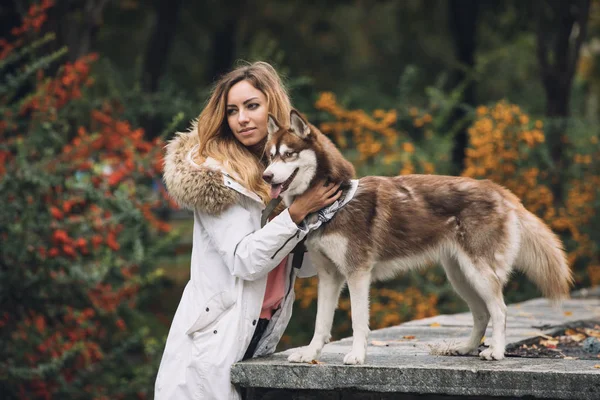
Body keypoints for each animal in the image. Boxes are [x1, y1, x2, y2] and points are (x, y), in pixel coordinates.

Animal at [262, 108, 572, 362]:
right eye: (270, 156)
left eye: (288, 154)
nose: (266, 176)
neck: (336, 202)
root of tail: (499, 190)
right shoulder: (329, 277)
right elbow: (321, 324)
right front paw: (310, 354)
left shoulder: (357, 273)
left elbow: (358, 321)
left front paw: (357, 355)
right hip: (460, 276)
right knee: (482, 313)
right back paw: (467, 348)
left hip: (479, 273)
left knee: (500, 309)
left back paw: (495, 351)